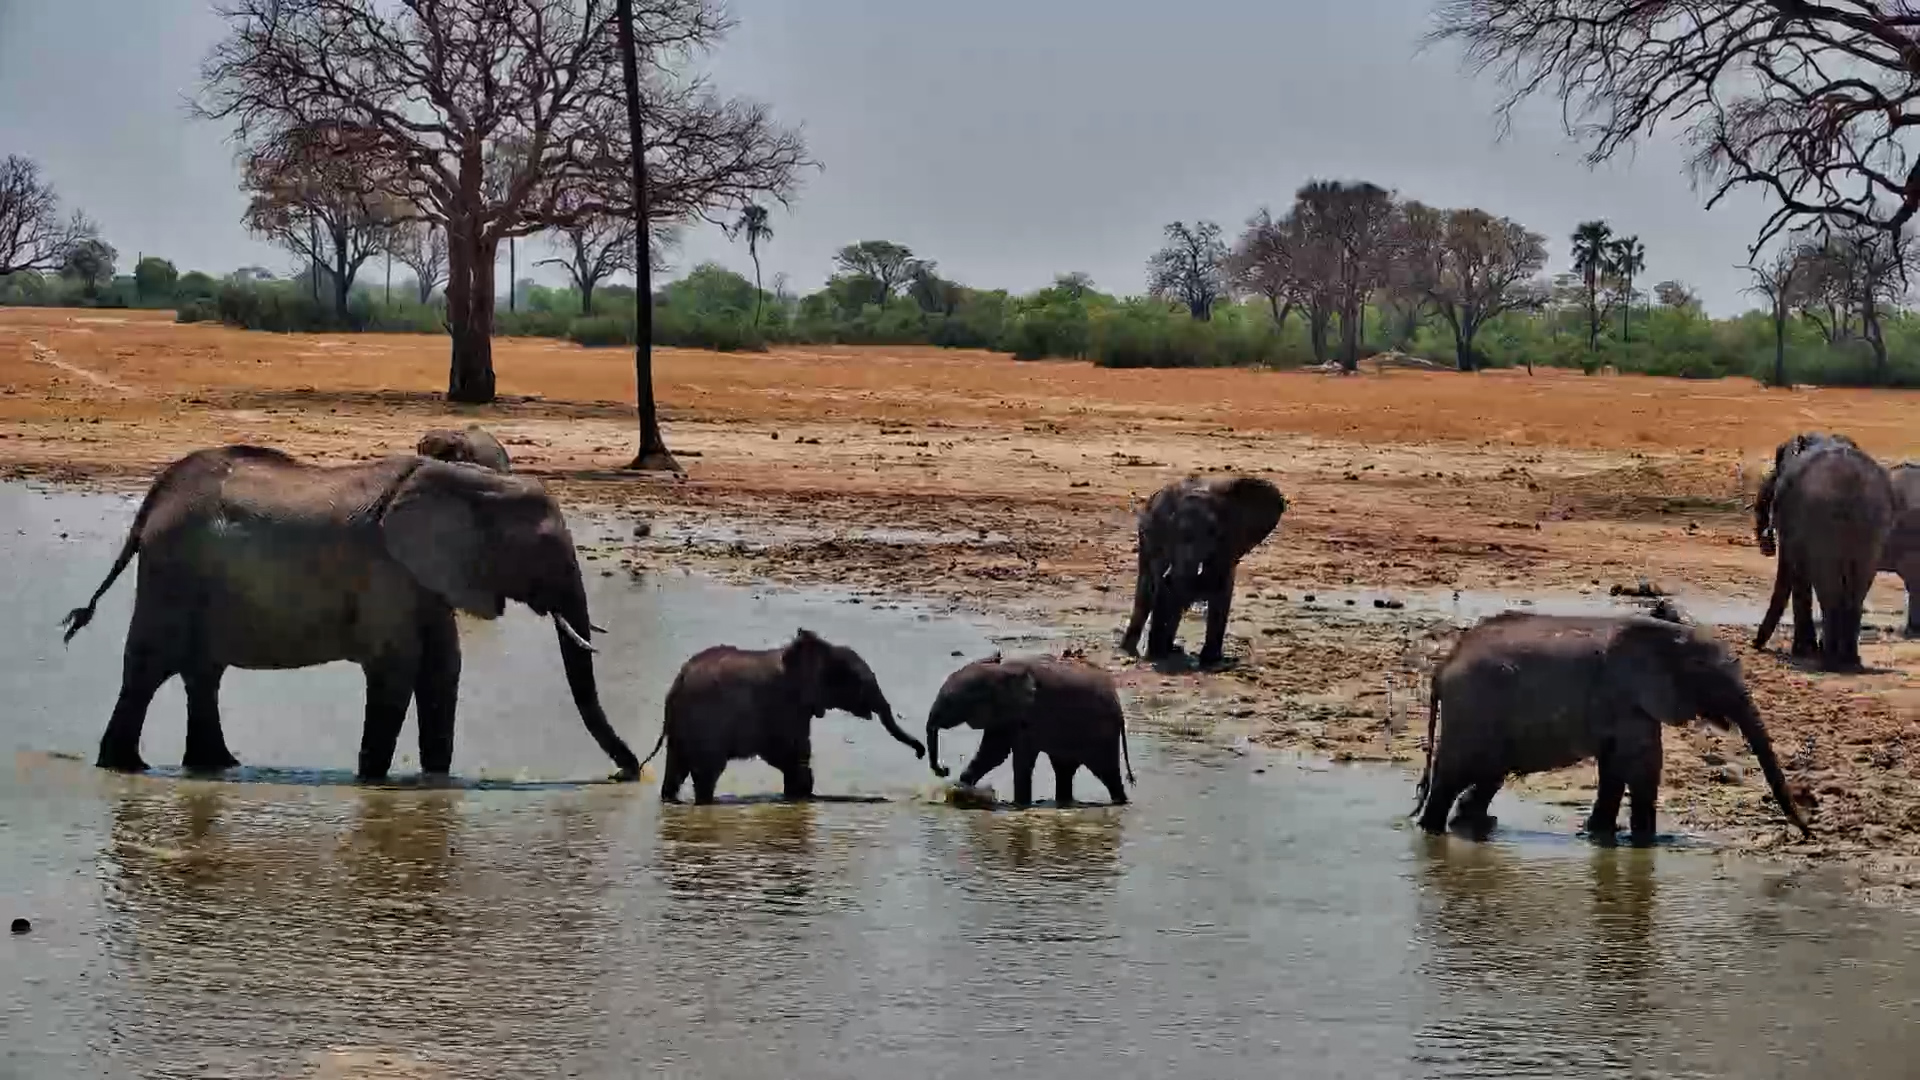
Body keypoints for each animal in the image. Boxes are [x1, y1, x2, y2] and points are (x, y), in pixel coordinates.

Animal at [58, 444, 639, 781]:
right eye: (539, 549)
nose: (628, 773)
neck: (466, 480)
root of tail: (153, 500)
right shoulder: (385, 569)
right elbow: (397, 670)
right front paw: (374, 785)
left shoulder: (424, 576)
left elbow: (442, 671)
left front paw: (436, 784)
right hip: (172, 571)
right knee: (148, 670)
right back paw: (125, 767)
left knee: (201, 674)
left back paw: (218, 765)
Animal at [635, 628, 925, 804]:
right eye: (859, 682)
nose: (921, 754)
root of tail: (677, 683)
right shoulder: (785, 705)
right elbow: (792, 754)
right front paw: (803, 797)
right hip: (705, 723)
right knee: (707, 772)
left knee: (676, 769)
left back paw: (673, 801)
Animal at [925, 652, 1135, 807]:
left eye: (950, 703)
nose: (944, 769)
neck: (998, 672)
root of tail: (1119, 707)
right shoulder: (1004, 716)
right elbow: (993, 754)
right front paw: (961, 789)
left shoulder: (1029, 717)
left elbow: (1017, 760)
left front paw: (1019, 805)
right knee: (1064, 770)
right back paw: (1064, 803)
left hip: (1101, 734)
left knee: (1106, 772)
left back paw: (1120, 802)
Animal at [1412, 611, 1810, 846]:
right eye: (1713, 681)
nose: (1807, 833)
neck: (1672, 636)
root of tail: (1442, 665)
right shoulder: (1627, 699)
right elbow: (1642, 765)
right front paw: (1645, 842)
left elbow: (1616, 769)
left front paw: (1600, 833)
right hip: (1471, 709)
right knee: (1453, 776)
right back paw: (1432, 831)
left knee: (1487, 776)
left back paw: (1475, 825)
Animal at [1752, 432, 1895, 669]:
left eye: (1778, 458)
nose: (1755, 644)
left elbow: (1796, 572)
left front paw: (1803, 651)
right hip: (1873, 529)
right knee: (1857, 588)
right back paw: (1849, 660)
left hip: (1822, 522)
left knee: (1828, 587)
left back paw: (1829, 658)